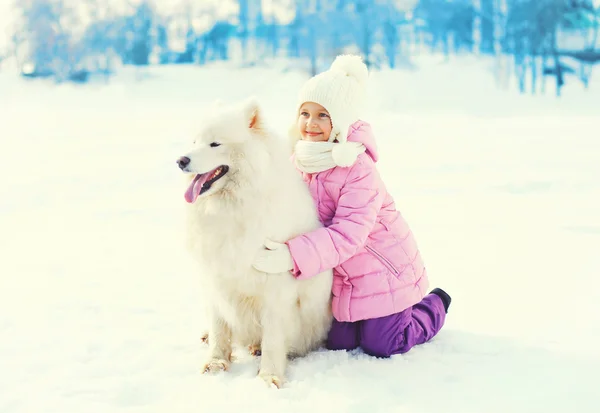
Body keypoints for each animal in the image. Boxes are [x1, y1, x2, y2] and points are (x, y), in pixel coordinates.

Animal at [176, 99, 336, 386]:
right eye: (194, 142)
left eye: (215, 143)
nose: (181, 160)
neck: (231, 206)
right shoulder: (216, 278)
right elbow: (219, 328)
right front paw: (216, 363)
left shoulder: (275, 287)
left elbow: (272, 338)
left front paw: (269, 377)